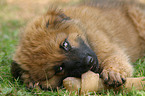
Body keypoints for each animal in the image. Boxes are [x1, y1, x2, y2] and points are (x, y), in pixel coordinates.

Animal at [11, 0, 145, 89]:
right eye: (59, 68)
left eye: (65, 44)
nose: (89, 61)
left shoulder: (108, 48)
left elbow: (114, 58)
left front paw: (113, 72)